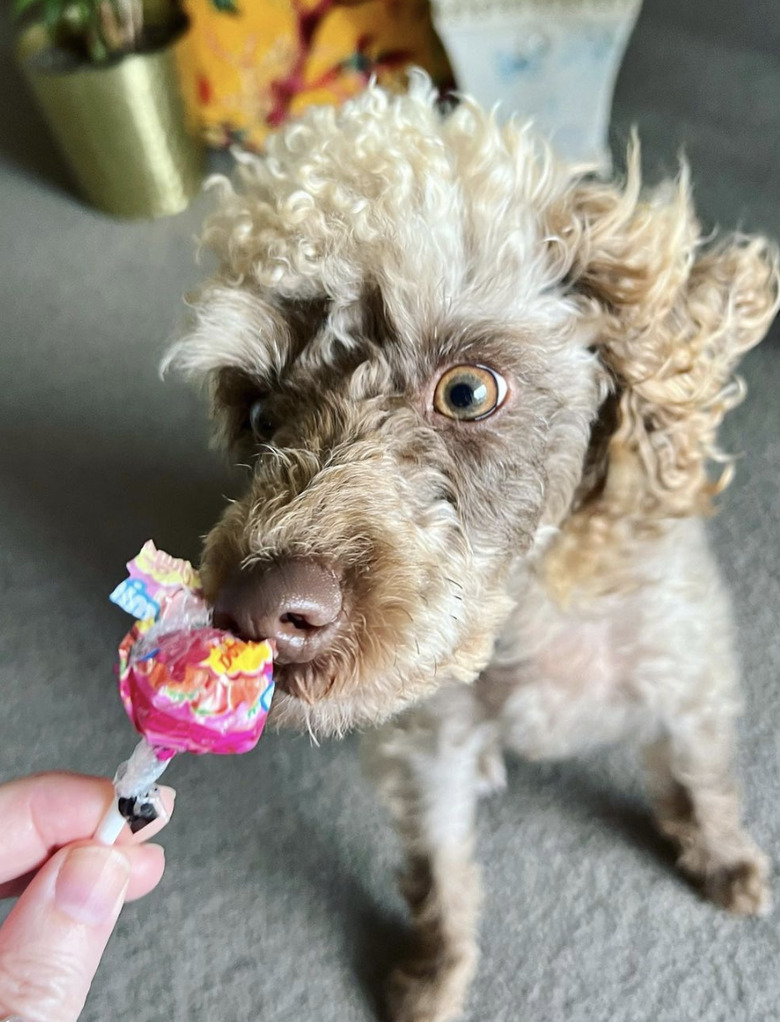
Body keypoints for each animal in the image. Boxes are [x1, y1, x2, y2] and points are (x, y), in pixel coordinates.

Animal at [164, 72, 780, 1021]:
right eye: (260, 414)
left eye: (467, 391)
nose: (259, 609)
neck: (527, 615)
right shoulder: (424, 751)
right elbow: (438, 872)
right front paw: (434, 973)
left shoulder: (689, 679)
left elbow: (701, 779)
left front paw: (721, 858)